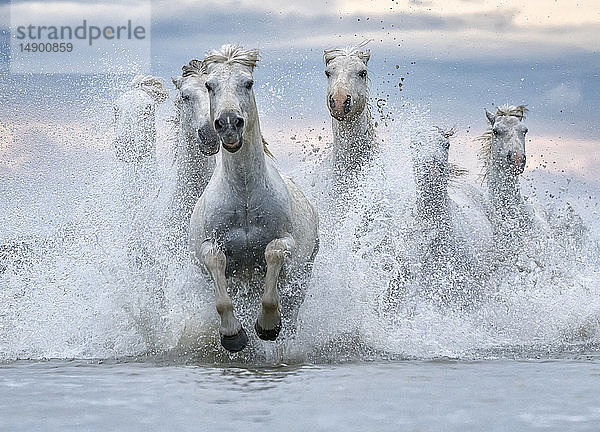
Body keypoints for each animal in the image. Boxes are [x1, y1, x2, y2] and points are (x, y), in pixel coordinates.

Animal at [190, 45, 322, 352]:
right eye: (209, 85)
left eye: (248, 83)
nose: (228, 124)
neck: (245, 196)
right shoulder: (209, 247)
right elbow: (216, 263)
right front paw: (233, 335)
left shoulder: (285, 242)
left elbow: (273, 253)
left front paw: (268, 326)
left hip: (301, 279)